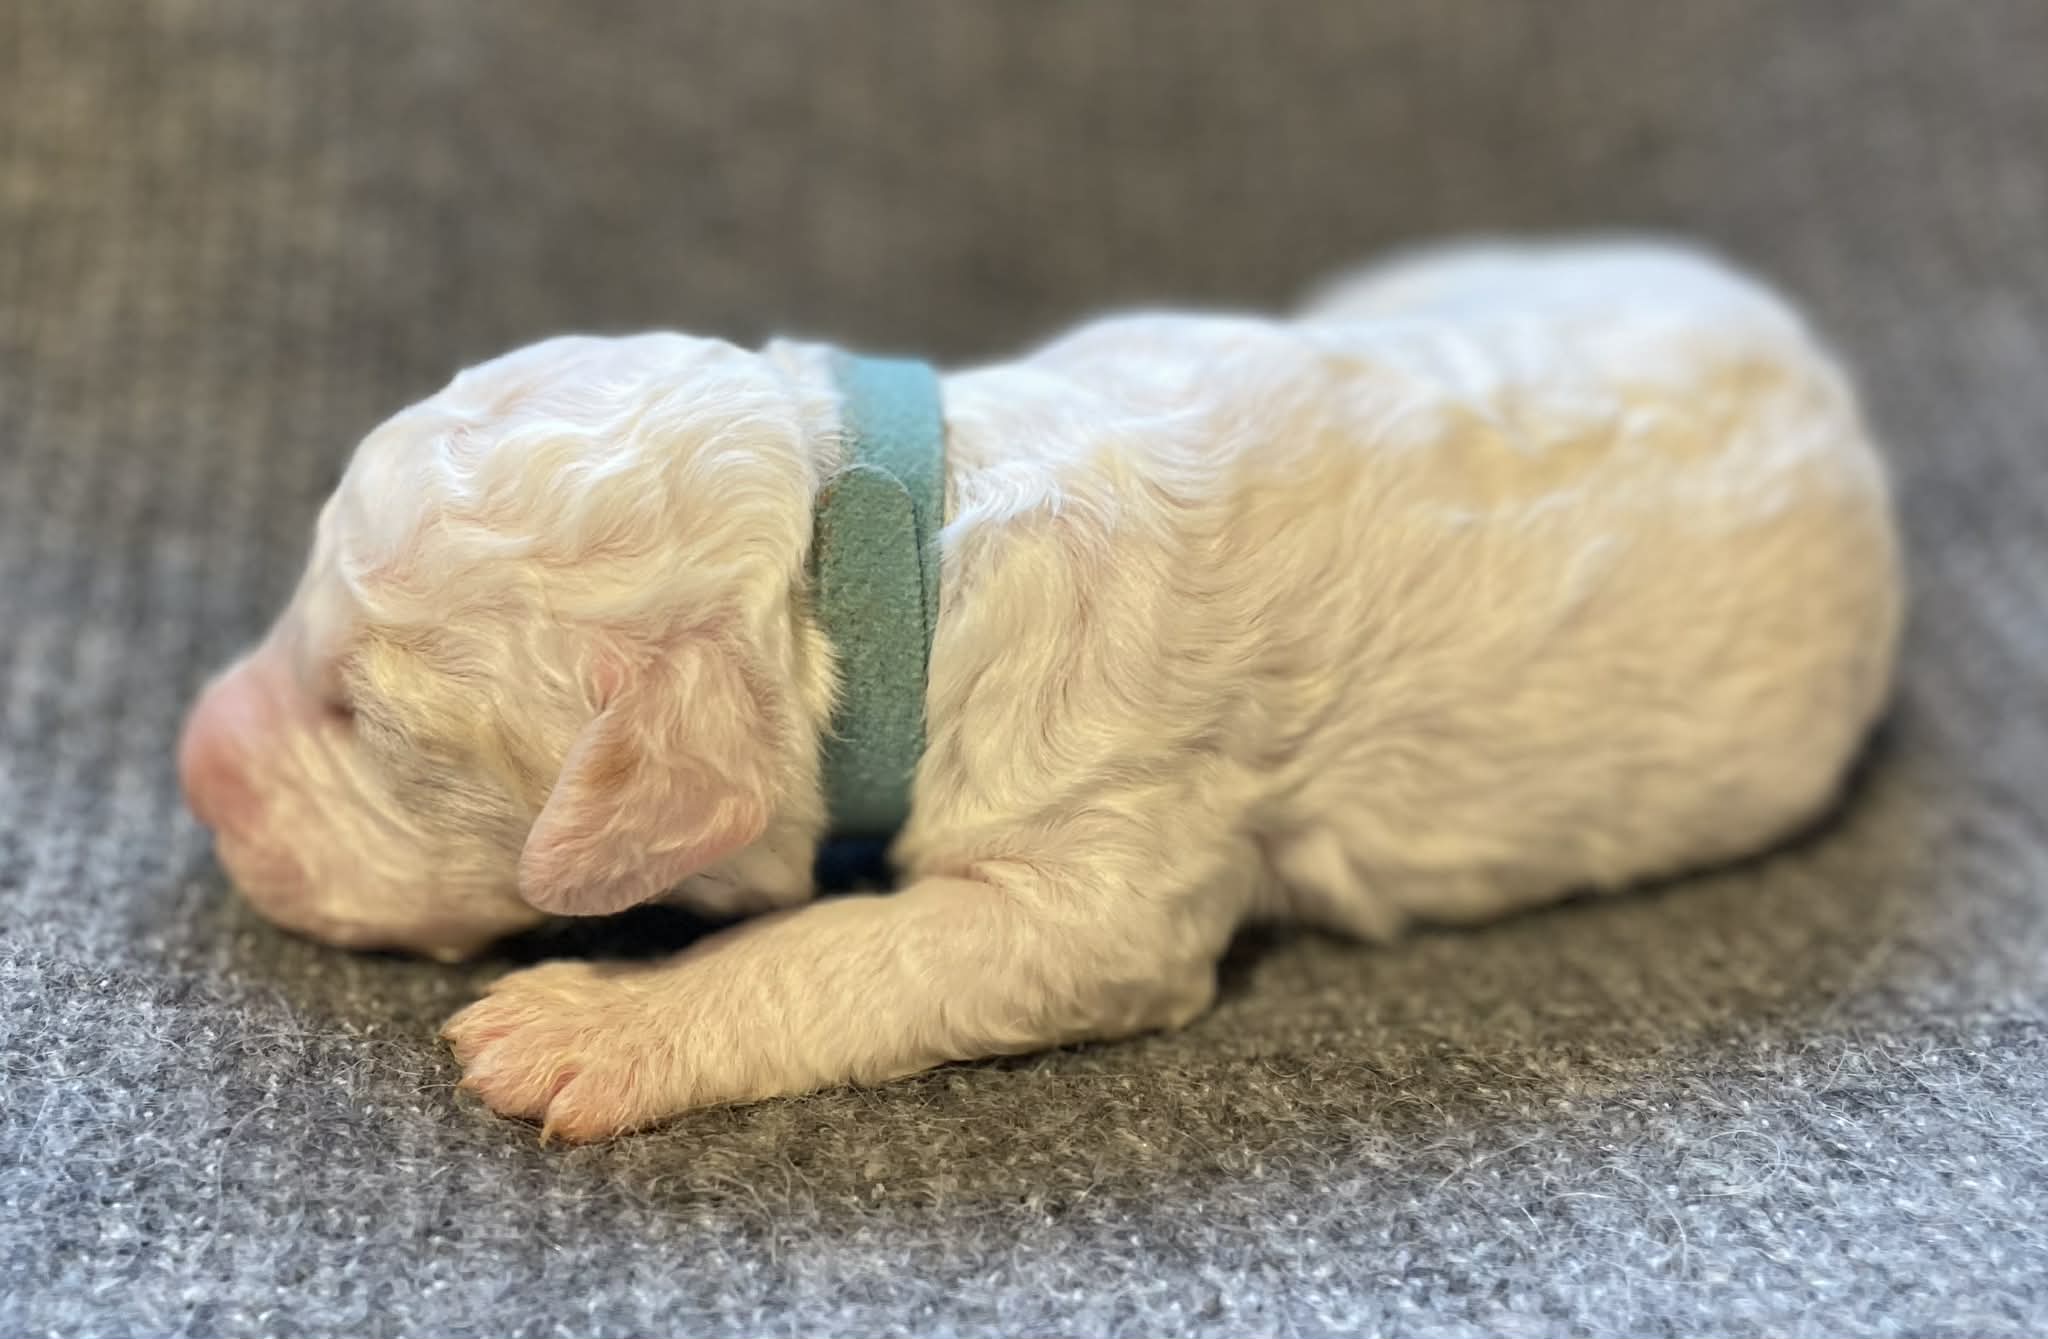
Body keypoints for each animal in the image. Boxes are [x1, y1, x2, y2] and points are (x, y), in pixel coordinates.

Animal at [178, 238, 1902, 1140]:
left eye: (368, 720)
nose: (193, 758)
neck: (870, 543)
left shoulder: (1110, 863)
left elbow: (850, 949)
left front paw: (592, 1023)